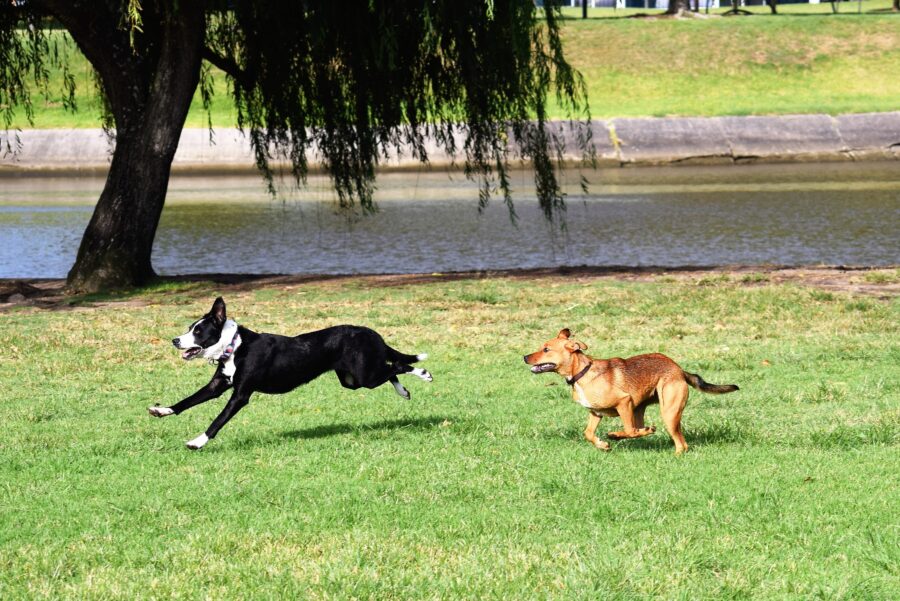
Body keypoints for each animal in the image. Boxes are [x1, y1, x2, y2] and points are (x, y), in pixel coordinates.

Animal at [150, 298, 432, 448]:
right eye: (190, 328)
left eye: (198, 331)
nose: (175, 340)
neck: (234, 347)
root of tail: (372, 333)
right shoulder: (217, 386)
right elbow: (187, 401)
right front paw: (162, 410)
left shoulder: (240, 395)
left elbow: (217, 421)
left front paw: (198, 442)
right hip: (353, 380)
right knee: (390, 370)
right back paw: (404, 391)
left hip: (364, 375)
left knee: (398, 366)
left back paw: (422, 373)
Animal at [520, 330, 740, 452]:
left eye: (546, 349)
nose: (524, 357)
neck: (582, 373)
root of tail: (679, 370)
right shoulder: (595, 412)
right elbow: (588, 433)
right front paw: (602, 445)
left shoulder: (623, 402)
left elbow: (628, 430)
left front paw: (613, 437)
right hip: (640, 408)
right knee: (643, 429)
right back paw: (648, 430)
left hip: (668, 411)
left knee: (680, 444)